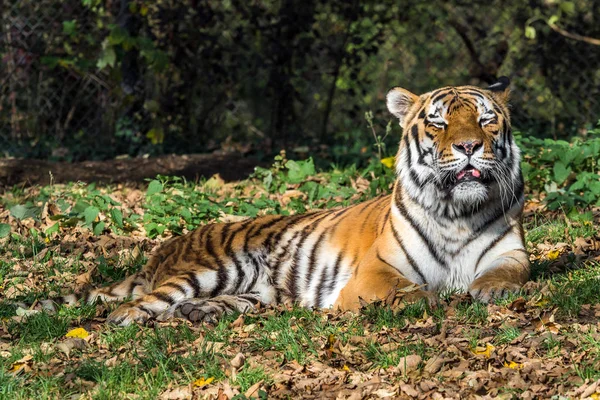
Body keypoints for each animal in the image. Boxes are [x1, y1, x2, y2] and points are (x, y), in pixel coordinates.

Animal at [37, 77, 528, 324]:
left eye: (486, 120)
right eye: (439, 123)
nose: (469, 146)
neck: (457, 212)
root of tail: (166, 248)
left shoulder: (512, 252)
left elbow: (507, 272)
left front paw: (491, 289)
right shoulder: (376, 272)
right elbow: (408, 290)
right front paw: (428, 299)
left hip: (259, 289)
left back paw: (201, 313)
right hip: (212, 269)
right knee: (139, 303)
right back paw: (126, 320)